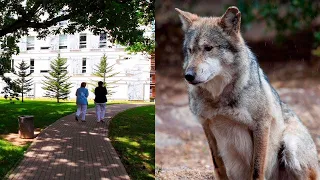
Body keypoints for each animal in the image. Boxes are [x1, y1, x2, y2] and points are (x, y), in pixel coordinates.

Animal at [175, 5, 320, 180]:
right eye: (190, 50)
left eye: (208, 48)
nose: (188, 76)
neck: (218, 97)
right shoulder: (206, 126)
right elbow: (218, 166)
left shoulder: (261, 125)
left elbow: (257, 170)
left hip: (291, 148)